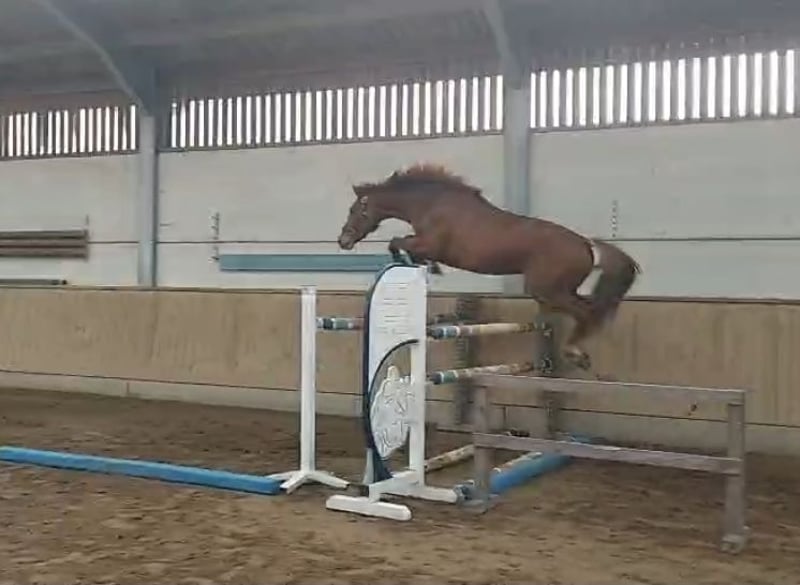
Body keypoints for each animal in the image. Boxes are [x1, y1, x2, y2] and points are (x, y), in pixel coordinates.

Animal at [336, 164, 640, 371]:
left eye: (354, 210)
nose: (343, 241)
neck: (432, 203)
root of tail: (588, 245)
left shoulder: (430, 244)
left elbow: (398, 242)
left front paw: (424, 265)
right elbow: (402, 245)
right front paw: (423, 266)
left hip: (547, 289)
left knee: (587, 312)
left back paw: (576, 352)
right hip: (558, 289)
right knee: (587, 309)